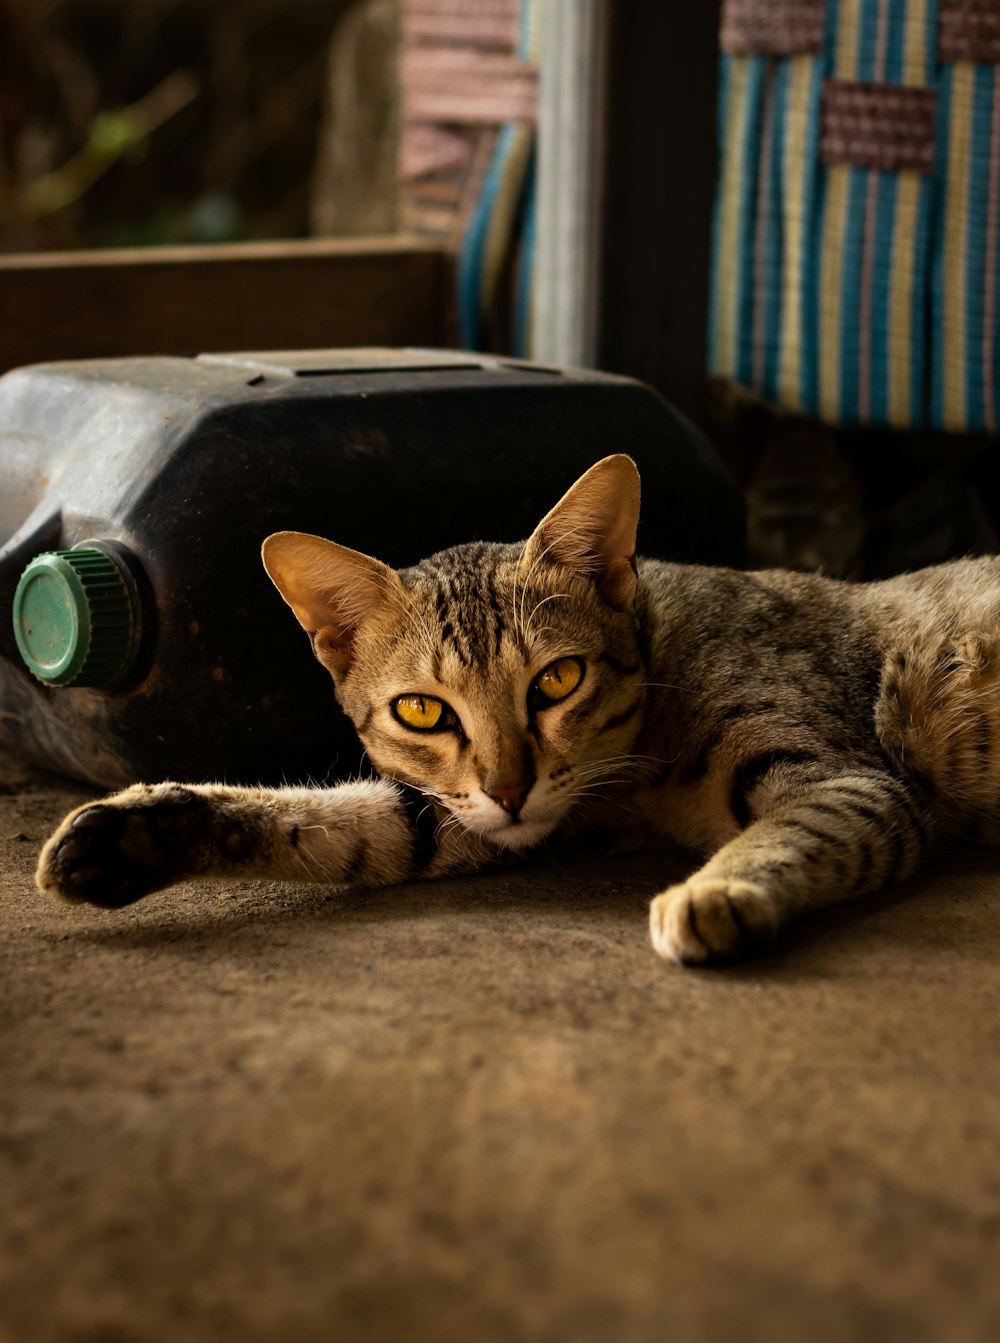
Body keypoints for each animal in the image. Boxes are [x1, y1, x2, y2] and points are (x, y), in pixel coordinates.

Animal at [31, 456, 998, 961]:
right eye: (423, 712)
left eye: (557, 681)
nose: (509, 788)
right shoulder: (486, 817)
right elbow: (346, 825)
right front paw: (142, 831)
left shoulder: (851, 780)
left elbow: (791, 831)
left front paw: (715, 889)